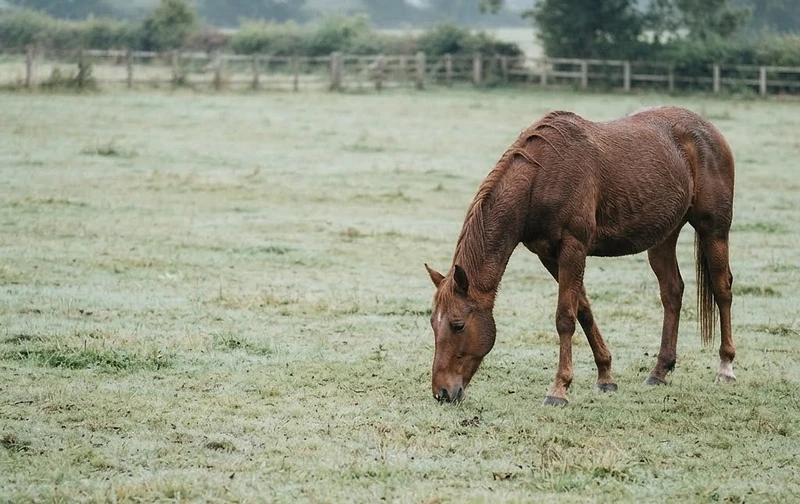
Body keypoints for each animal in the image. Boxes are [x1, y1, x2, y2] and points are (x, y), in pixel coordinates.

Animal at [424, 106, 736, 406]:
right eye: (432, 324)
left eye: (457, 325)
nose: (443, 392)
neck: (540, 176)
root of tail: (710, 131)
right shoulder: (549, 255)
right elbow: (584, 310)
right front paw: (605, 375)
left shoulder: (573, 248)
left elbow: (565, 318)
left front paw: (558, 389)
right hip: (663, 238)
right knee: (672, 292)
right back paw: (659, 371)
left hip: (714, 230)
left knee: (723, 291)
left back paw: (726, 367)